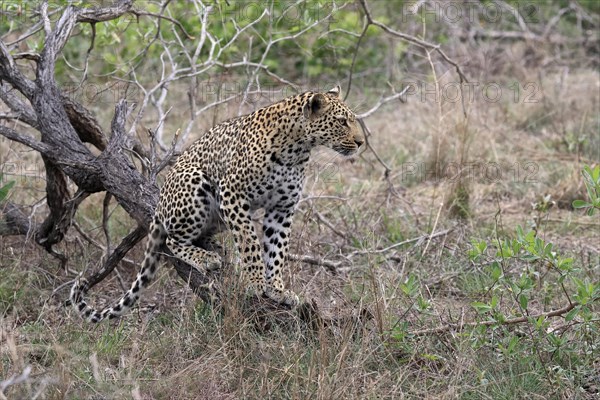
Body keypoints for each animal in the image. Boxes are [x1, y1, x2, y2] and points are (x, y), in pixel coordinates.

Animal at [68, 86, 364, 324]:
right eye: (341, 122)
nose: (361, 142)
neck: (298, 148)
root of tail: (160, 205)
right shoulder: (233, 194)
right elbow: (250, 242)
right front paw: (256, 282)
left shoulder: (282, 208)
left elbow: (277, 249)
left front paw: (278, 289)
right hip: (195, 184)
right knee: (172, 241)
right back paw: (207, 258)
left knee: (201, 237)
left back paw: (218, 250)